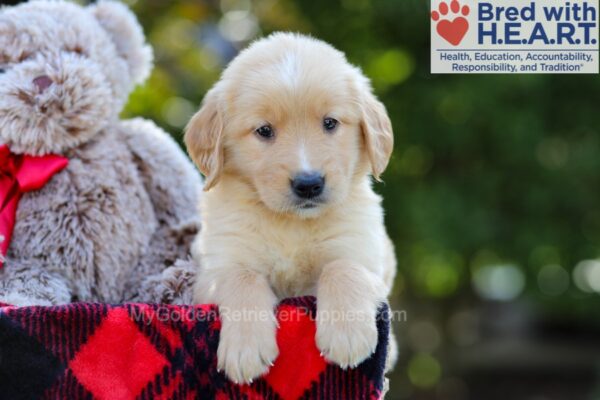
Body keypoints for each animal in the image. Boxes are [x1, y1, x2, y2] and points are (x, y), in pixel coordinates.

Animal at [185, 32, 396, 384]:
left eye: (330, 123)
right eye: (264, 130)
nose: (309, 184)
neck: (291, 225)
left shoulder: (363, 252)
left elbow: (343, 268)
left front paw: (346, 333)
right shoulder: (215, 268)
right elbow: (242, 277)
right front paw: (245, 348)